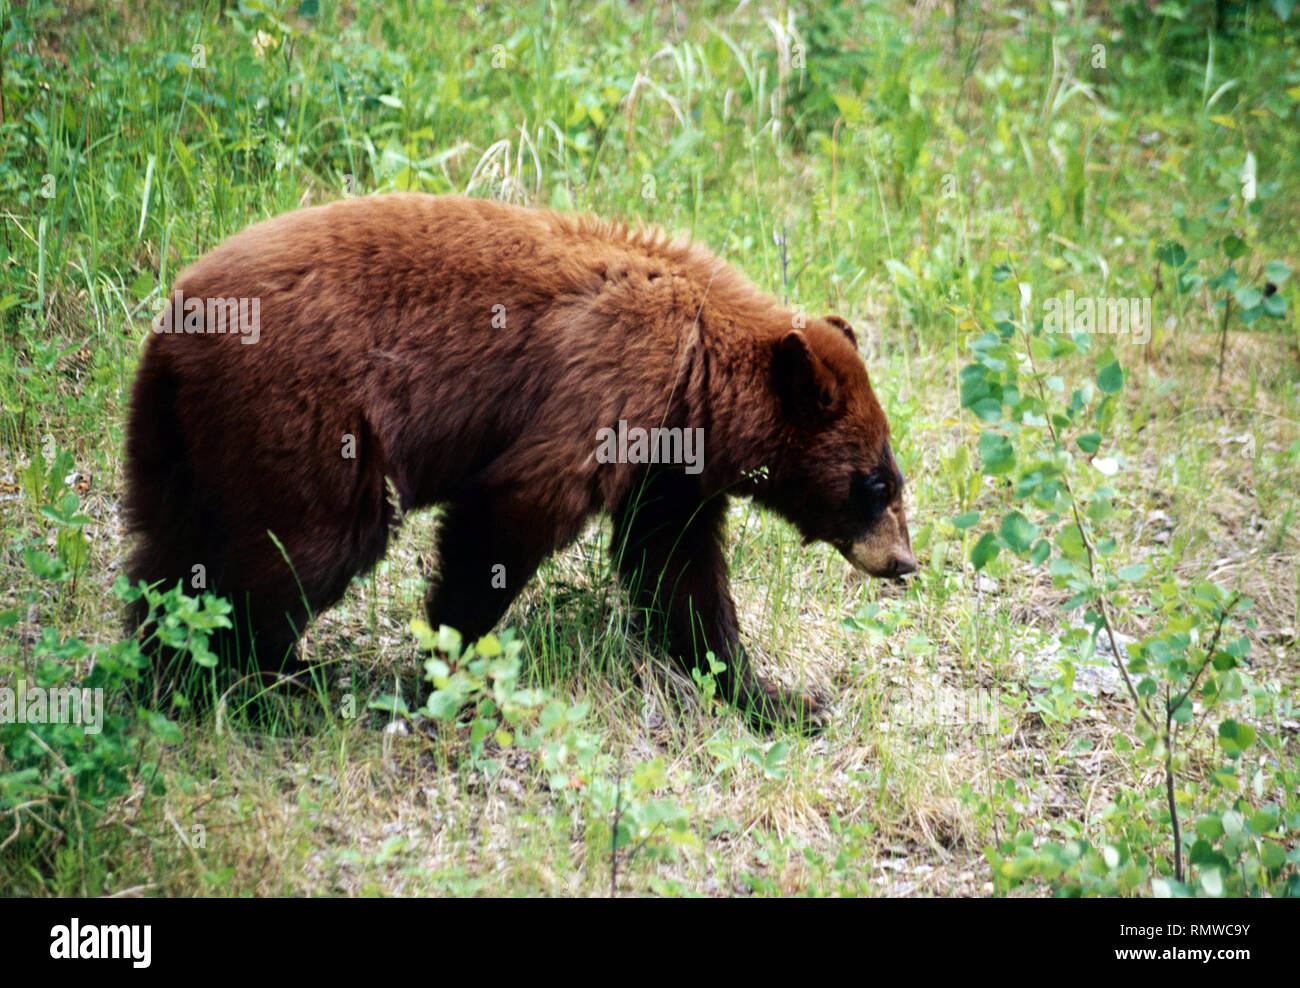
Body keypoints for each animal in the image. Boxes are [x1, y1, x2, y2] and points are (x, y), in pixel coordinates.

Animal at [124, 195, 915, 733]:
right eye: (875, 484)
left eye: (895, 478)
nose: (905, 562)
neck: (700, 367)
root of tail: (174, 325)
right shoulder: (614, 378)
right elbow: (513, 512)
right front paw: (455, 671)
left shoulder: (670, 464)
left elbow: (678, 571)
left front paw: (776, 698)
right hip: (306, 421)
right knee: (301, 551)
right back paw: (275, 681)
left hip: (185, 442)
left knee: (171, 557)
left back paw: (171, 665)